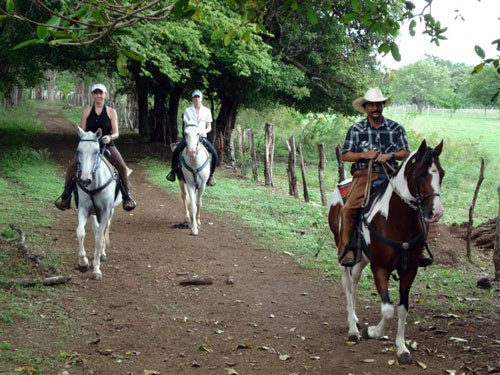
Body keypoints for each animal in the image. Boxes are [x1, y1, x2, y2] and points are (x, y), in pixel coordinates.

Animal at [75, 126, 122, 280]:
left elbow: (99, 239)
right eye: (79, 150)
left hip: (109, 212)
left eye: (96, 151)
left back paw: (102, 254)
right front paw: (83, 263)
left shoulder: (105, 212)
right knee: (96, 229)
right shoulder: (84, 209)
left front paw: (96, 269)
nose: (84, 180)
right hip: (93, 213)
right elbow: (81, 232)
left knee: (104, 230)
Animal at [328, 140, 446, 364]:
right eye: (420, 174)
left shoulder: (410, 270)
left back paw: (354, 320)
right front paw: (372, 332)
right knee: (347, 283)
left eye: (442, 174)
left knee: (355, 282)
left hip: (362, 258)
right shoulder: (380, 267)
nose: (435, 212)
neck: (397, 221)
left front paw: (402, 349)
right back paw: (353, 330)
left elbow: (402, 309)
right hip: (344, 251)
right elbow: (388, 308)